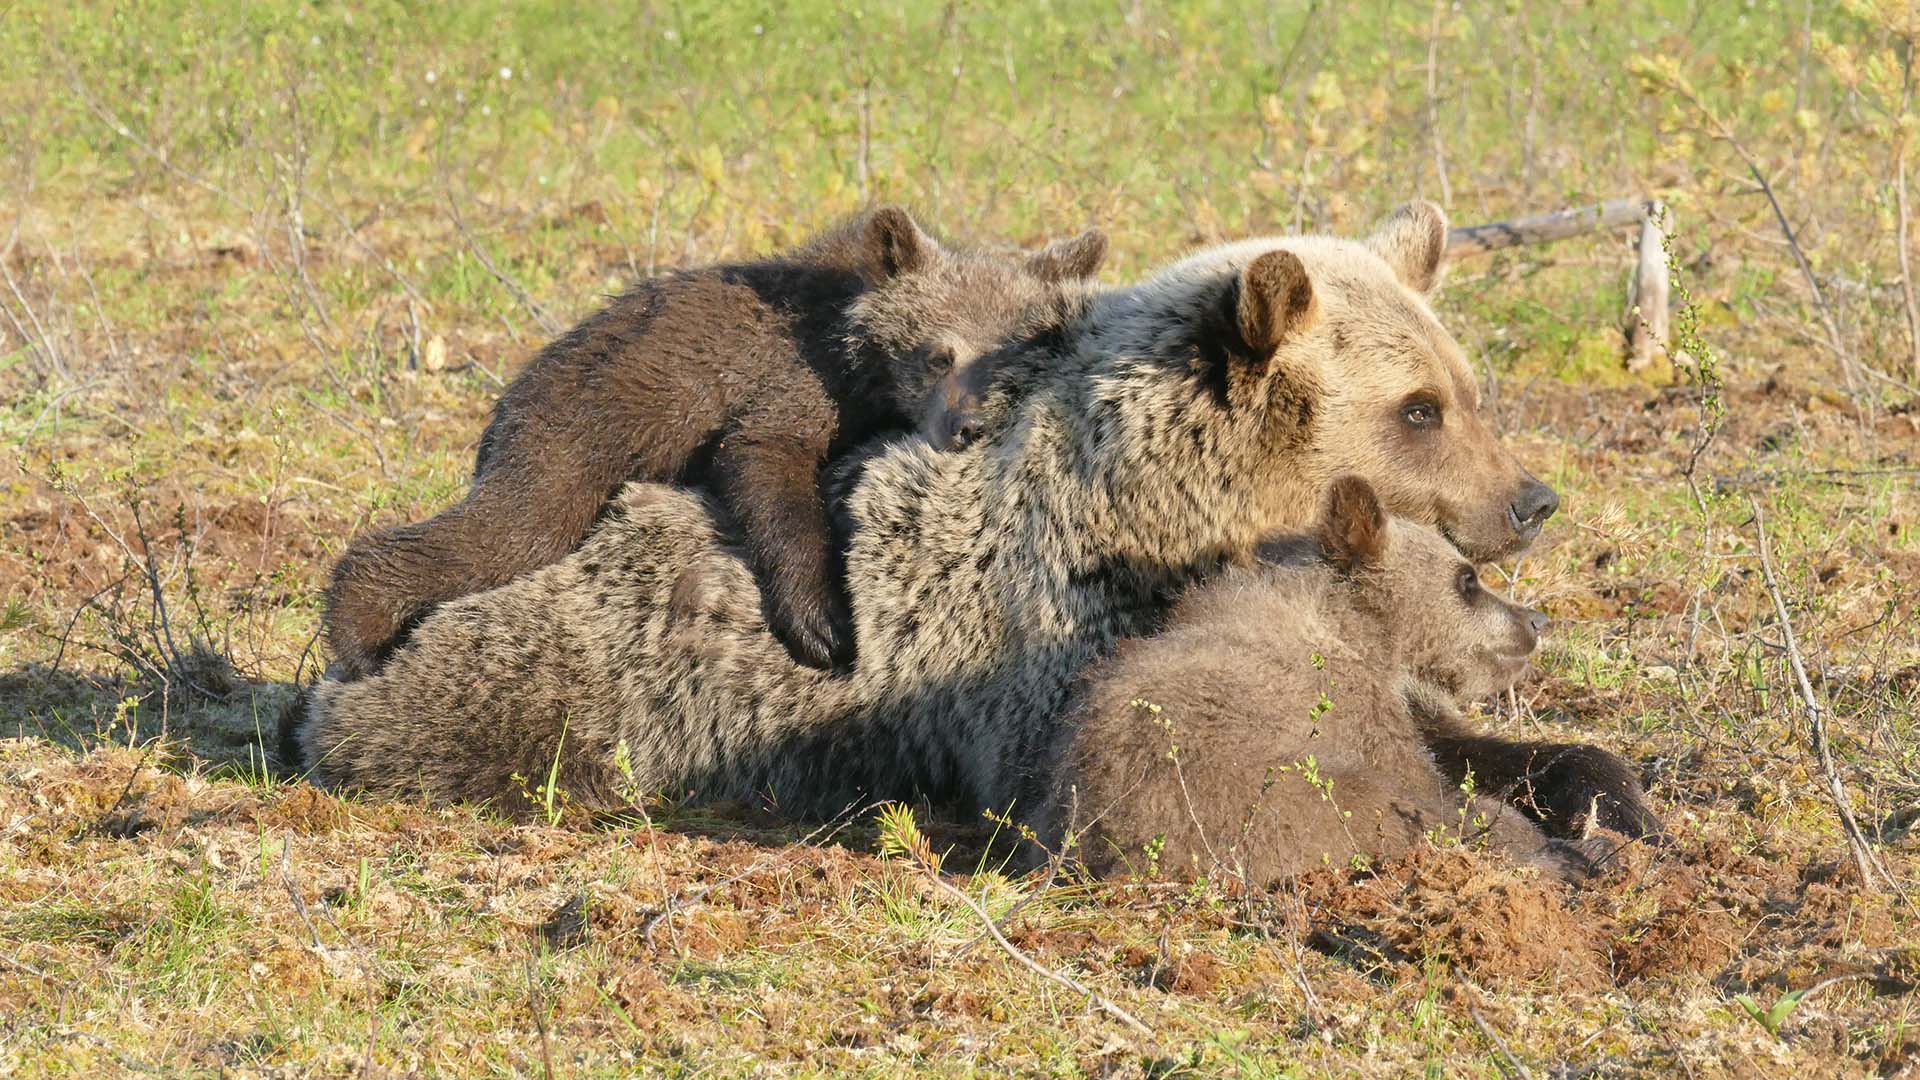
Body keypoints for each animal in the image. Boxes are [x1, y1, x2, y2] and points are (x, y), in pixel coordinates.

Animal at [321, 206, 1110, 678]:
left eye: (1008, 358)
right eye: (938, 354)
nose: (964, 426)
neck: (859, 360)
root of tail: (509, 396)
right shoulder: (786, 382)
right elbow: (766, 465)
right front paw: (824, 625)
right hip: (572, 433)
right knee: (508, 528)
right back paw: (359, 638)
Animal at [1033, 475, 1660, 887]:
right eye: (1466, 580)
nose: (1535, 621)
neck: (1362, 635)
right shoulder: (1349, 710)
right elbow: (1430, 789)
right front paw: (1554, 841)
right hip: (1242, 798)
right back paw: (1576, 857)